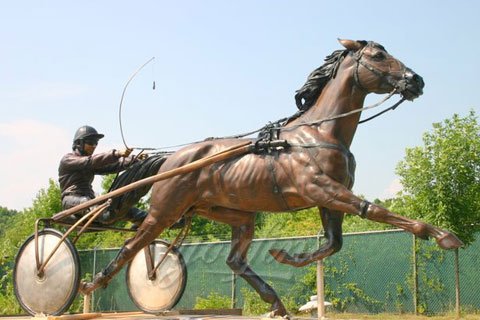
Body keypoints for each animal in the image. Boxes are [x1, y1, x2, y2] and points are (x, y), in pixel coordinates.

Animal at [80, 38, 464, 316]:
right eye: (379, 55)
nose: (416, 80)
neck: (319, 133)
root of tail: (172, 158)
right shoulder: (322, 189)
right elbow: (374, 211)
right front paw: (442, 235)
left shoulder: (327, 199)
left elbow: (333, 243)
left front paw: (285, 256)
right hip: (164, 211)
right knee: (132, 246)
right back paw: (92, 284)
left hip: (233, 215)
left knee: (234, 260)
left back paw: (276, 302)